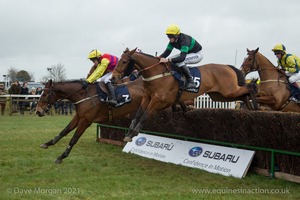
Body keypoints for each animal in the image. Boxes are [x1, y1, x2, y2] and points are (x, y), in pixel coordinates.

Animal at [111, 47, 256, 141]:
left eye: (124, 61)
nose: (113, 78)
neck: (157, 74)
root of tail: (227, 66)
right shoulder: (147, 97)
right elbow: (138, 113)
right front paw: (129, 133)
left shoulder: (158, 100)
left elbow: (145, 114)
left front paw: (134, 133)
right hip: (220, 95)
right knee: (243, 95)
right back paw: (250, 109)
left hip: (228, 90)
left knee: (248, 88)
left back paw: (254, 101)